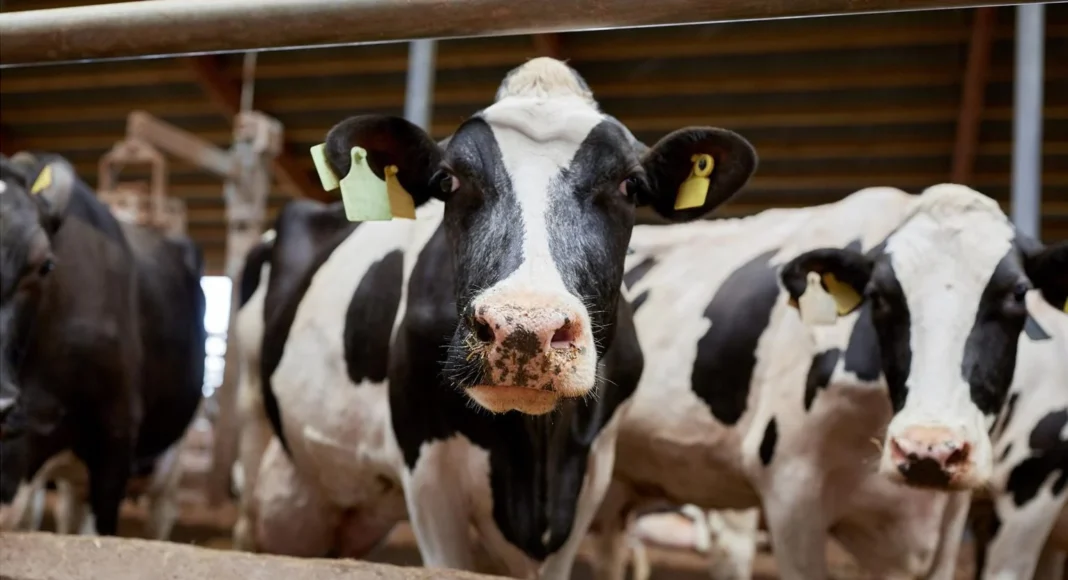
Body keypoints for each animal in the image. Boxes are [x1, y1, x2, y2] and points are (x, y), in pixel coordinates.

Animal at [242, 56, 757, 579]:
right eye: (448, 181)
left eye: (629, 185)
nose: (524, 330)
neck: (536, 455)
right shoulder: (426, 468)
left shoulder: (591, 471)